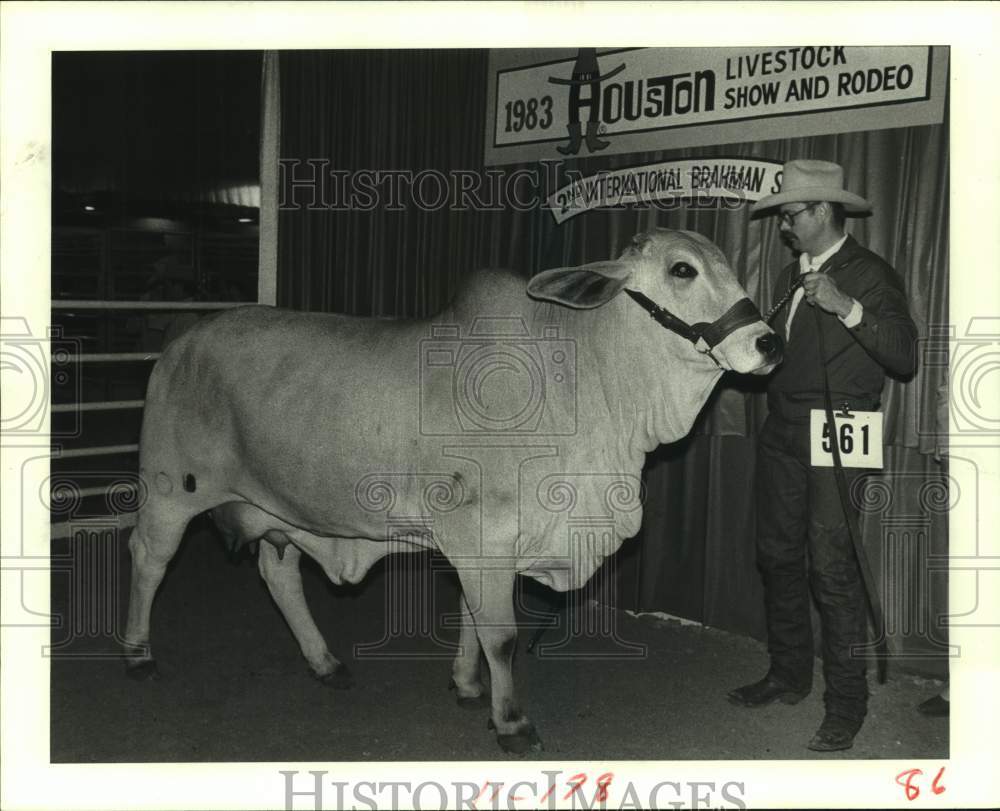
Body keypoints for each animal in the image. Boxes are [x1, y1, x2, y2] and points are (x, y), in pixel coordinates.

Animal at [123, 228, 783, 753]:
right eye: (682, 269)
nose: (768, 342)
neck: (584, 384)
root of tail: (183, 339)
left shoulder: (485, 546)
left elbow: (472, 618)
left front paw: (467, 686)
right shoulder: (480, 531)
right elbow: (501, 634)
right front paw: (512, 722)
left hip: (278, 507)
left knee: (277, 572)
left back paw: (325, 662)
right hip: (169, 490)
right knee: (149, 559)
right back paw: (138, 654)